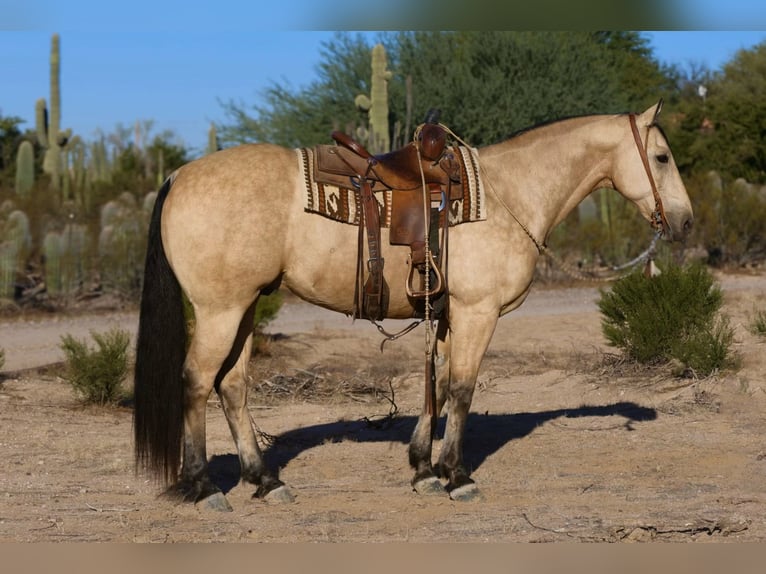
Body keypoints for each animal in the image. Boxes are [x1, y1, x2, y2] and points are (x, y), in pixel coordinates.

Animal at [134, 101, 696, 510]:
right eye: (663, 157)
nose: (686, 222)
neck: (509, 191)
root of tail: (178, 176)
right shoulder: (476, 312)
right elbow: (464, 389)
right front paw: (457, 475)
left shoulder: (448, 314)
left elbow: (440, 386)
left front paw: (423, 467)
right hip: (220, 310)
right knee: (197, 381)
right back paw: (206, 487)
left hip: (246, 307)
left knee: (231, 387)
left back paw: (265, 481)